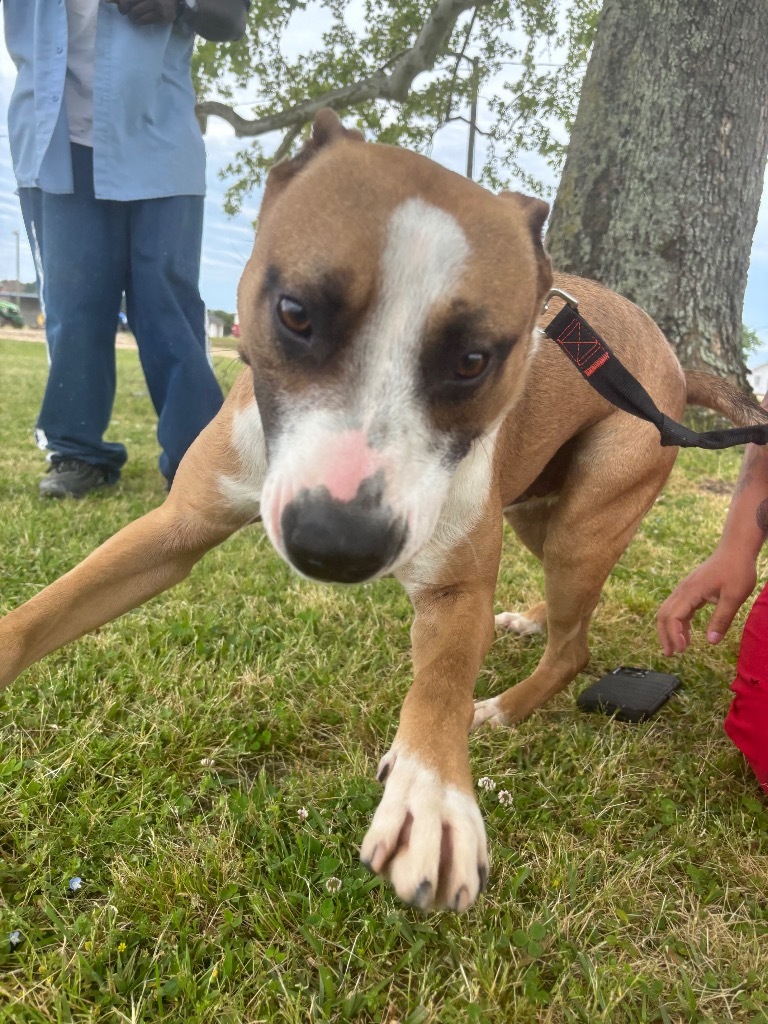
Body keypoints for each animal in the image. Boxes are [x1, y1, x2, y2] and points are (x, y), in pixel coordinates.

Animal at [1, 112, 768, 913]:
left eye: (473, 359)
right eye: (295, 313)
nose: (337, 544)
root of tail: (675, 364)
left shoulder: (455, 591)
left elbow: (439, 689)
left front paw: (432, 796)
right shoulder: (173, 530)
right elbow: (44, 611)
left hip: (584, 527)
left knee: (574, 647)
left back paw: (500, 707)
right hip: (540, 510)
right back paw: (528, 618)